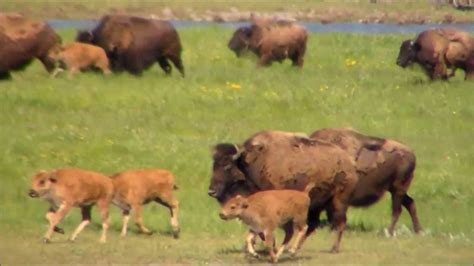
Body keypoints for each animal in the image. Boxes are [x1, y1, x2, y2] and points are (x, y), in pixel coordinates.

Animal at [209, 131, 358, 254]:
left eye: (227, 165)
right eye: (213, 165)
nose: (211, 191)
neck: (251, 163)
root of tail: (349, 163)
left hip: (338, 202)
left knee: (339, 223)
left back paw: (333, 249)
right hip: (317, 205)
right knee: (313, 225)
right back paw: (295, 249)